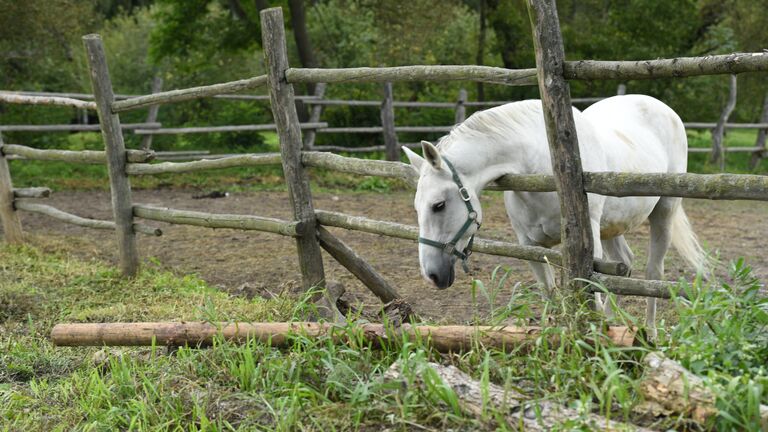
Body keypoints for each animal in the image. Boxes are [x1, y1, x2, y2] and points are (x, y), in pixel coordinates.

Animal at [402, 94, 708, 332]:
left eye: (438, 205)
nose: (432, 275)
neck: (540, 166)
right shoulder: (531, 246)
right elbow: (551, 295)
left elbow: (592, 298)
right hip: (611, 226)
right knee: (623, 265)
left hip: (664, 211)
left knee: (653, 273)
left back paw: (650, 332)